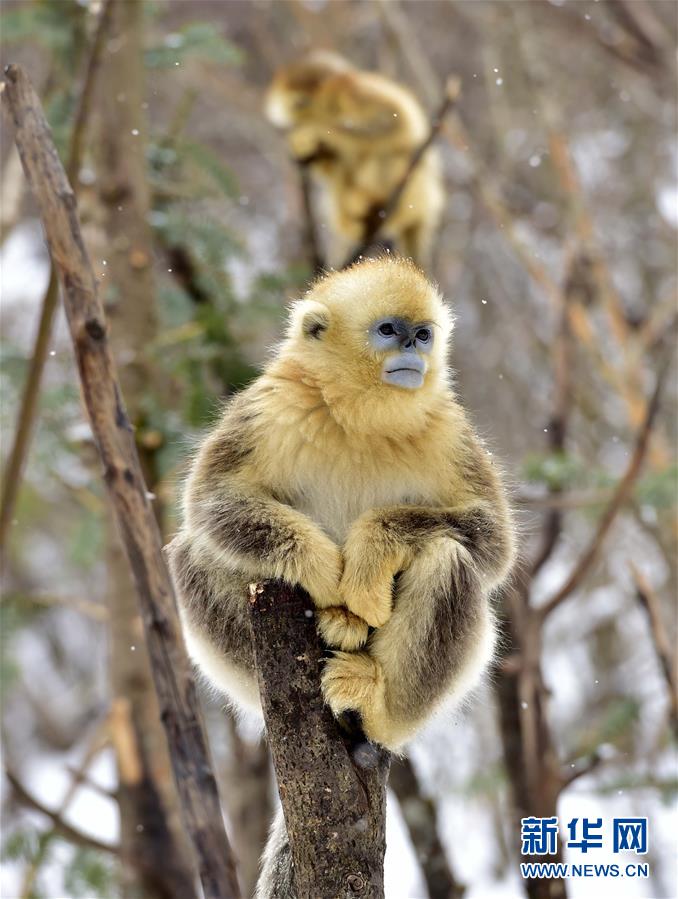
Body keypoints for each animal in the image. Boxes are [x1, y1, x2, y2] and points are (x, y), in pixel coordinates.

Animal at [266, 51, 446, 268]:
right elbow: (328, 163)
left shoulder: (355, 93)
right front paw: (304, 146)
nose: (295, 119)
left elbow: (391, 119)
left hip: (414, 189)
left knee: (386, 154)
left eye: (301, 102)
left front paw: (315, 129)